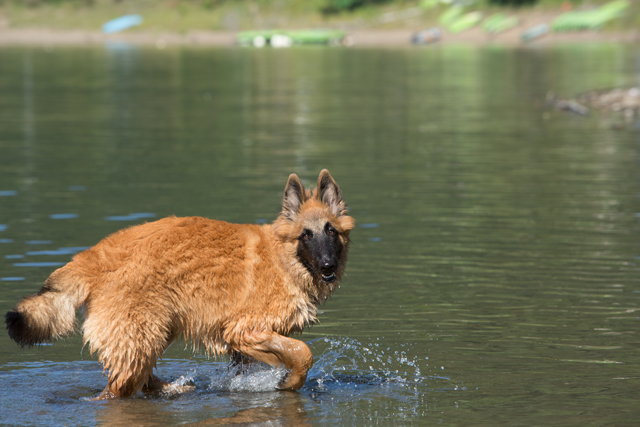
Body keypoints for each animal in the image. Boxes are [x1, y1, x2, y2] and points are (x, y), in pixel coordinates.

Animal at [6, 169, 356, 400]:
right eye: (306, 235)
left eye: (331, 231)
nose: (328, 266)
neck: (284, 260)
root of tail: (92, 258)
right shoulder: (243, 329)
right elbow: (303, 352)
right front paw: (288, 381)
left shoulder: (245, 343)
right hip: (141, 336)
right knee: (116, 391)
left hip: (155, 331)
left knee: (143, 379)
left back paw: (172, 388)